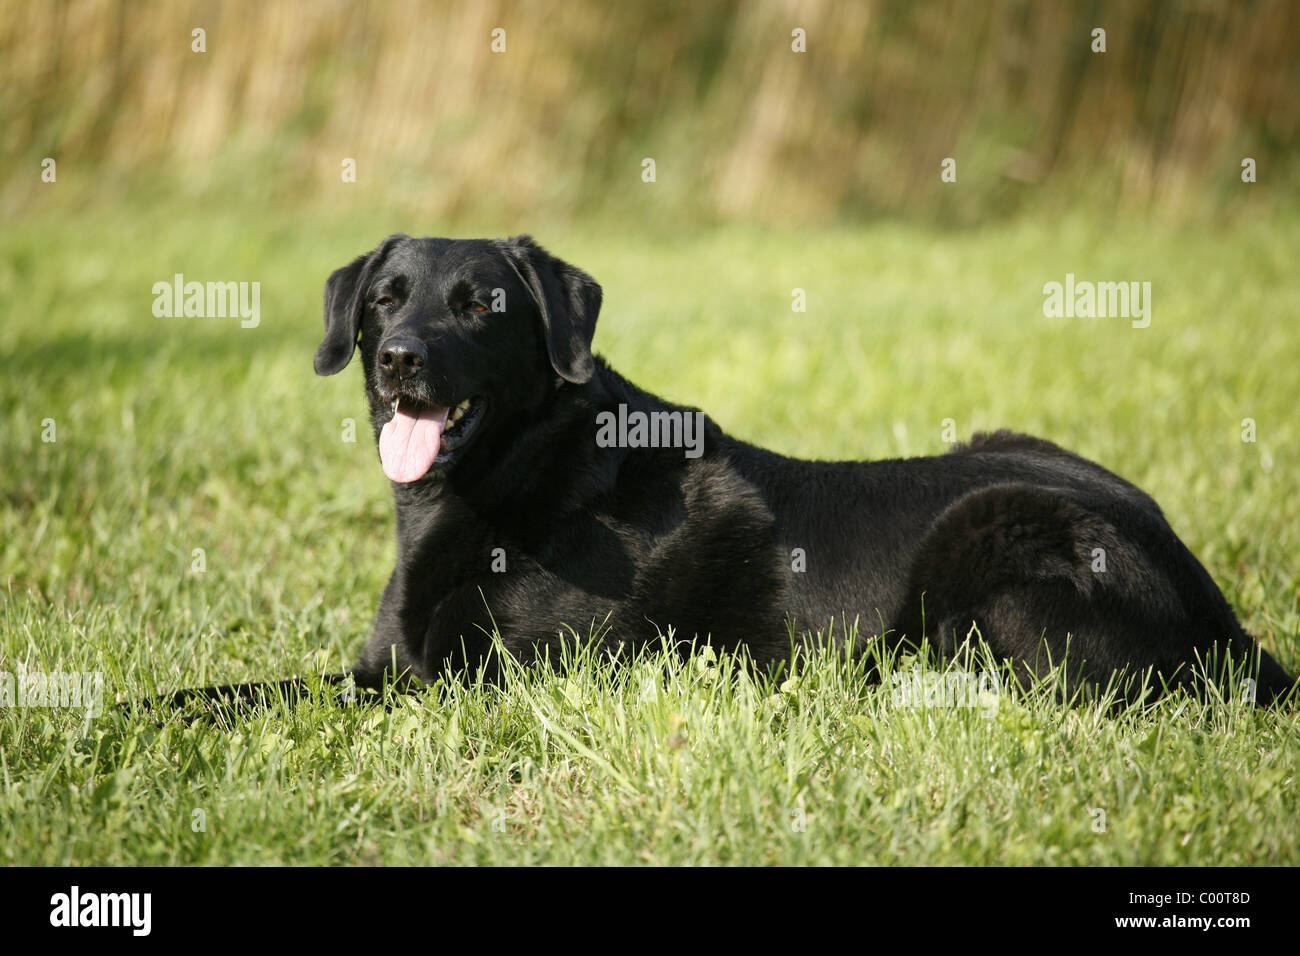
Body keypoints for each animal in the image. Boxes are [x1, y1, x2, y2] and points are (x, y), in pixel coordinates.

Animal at [167, 231, 1294, 712]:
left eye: (481, 304)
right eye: (383, 299)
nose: (399, 358)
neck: (517, 476)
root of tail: (1229, 623)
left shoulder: (473, 684)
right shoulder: (383, 666)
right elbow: (216, 692)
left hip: (993, 534)